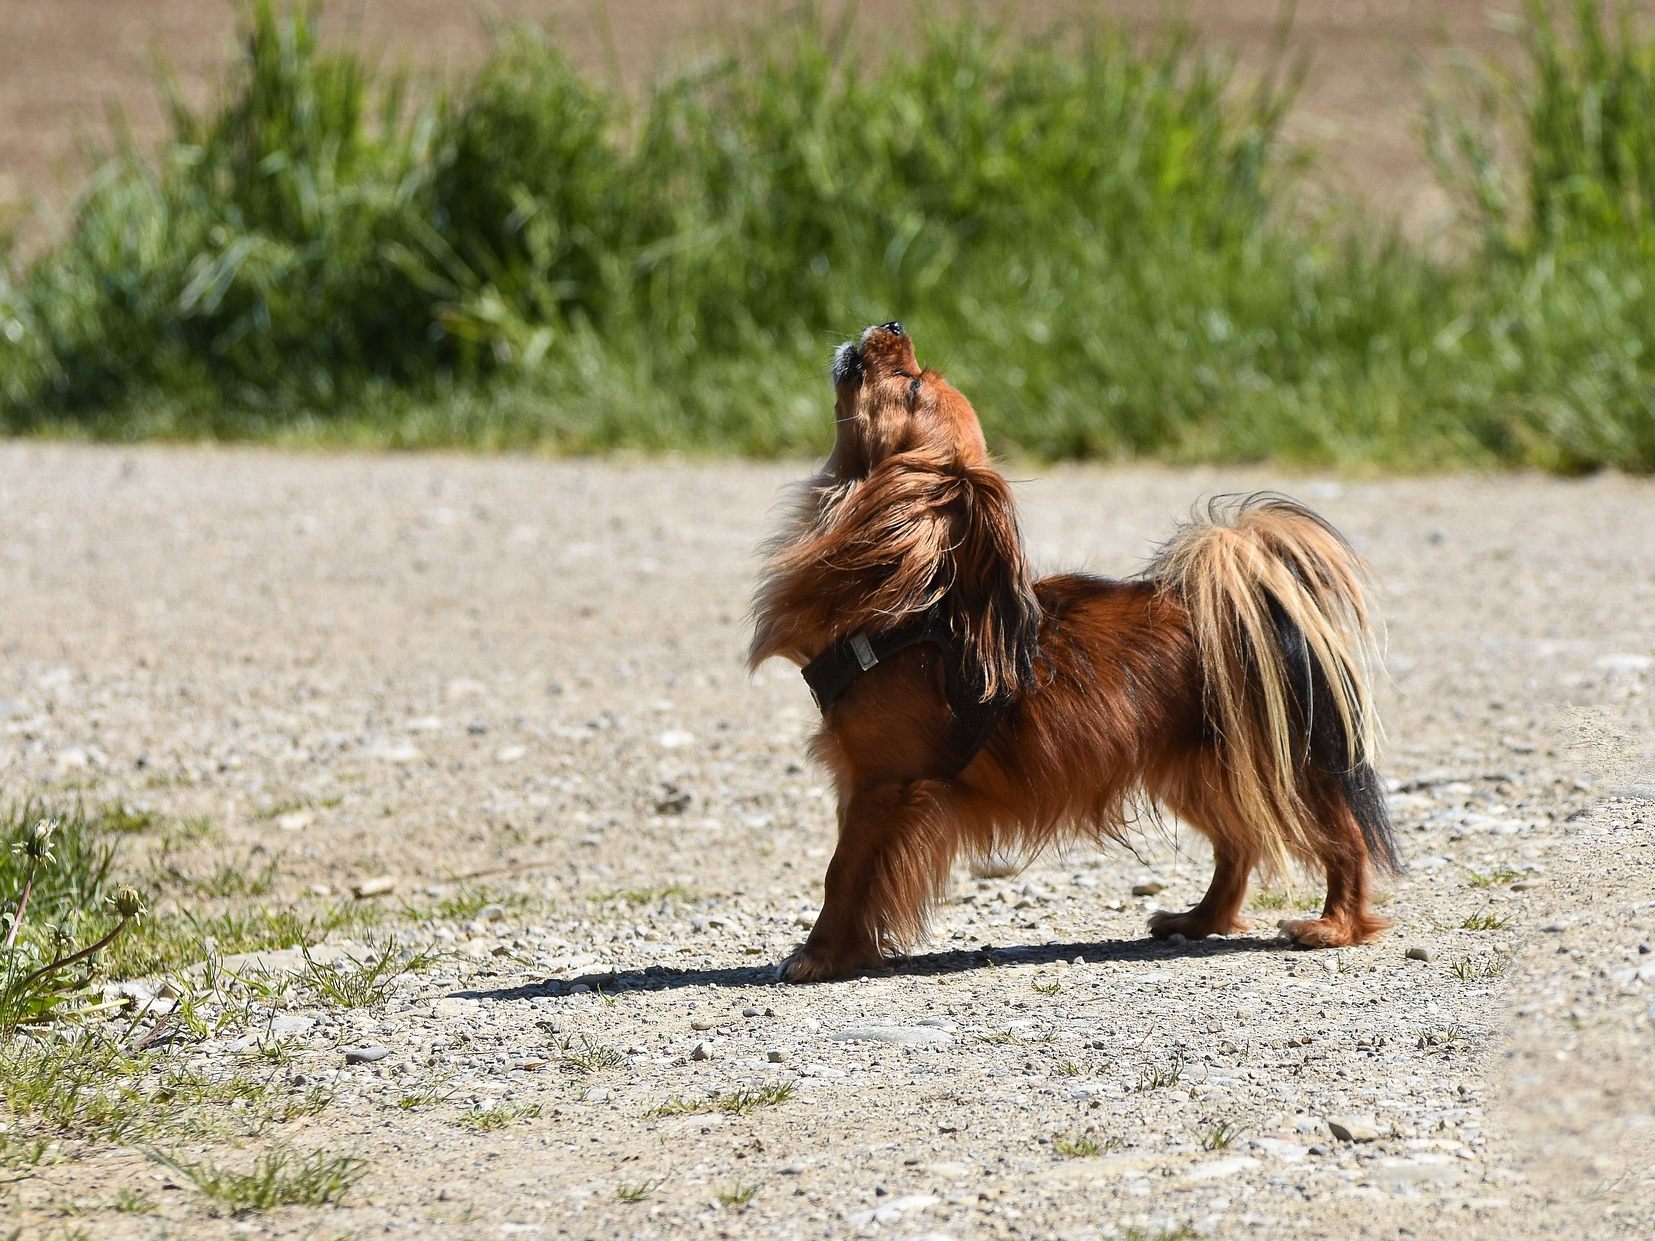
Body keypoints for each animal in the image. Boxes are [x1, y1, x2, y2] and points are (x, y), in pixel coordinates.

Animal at [757, 325, 1403, 986]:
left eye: (912, 386)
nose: (893, 325)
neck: (906, 599)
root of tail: (1236, 600)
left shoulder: (882, 787)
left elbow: (842, 874)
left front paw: (817, 956)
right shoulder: (861, 788)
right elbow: (856, 877)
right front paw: (850, 951)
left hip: (1271, 770)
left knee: (1342, 838)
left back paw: (1334, 926)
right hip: (1198, 774)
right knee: (1240, 842)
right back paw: (1200, 920)